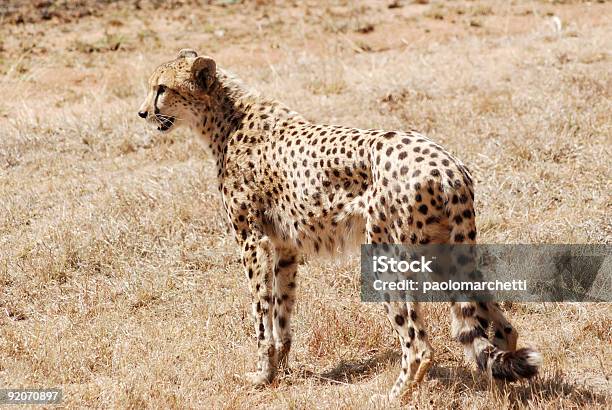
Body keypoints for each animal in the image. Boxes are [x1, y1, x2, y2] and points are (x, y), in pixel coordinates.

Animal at [139, 50, 540, 400]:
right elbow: (282, 311)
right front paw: (280, 372)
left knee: (419, 344)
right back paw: (500, 387)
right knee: (501, 325)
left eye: (162, 88)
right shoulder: (284, 247)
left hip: (389, 257)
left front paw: (261, 375)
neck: (226, 117)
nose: (143, 113)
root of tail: (448, 165)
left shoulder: (253, 242)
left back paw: (393, 396)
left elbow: (261, 316)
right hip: (447, 254)